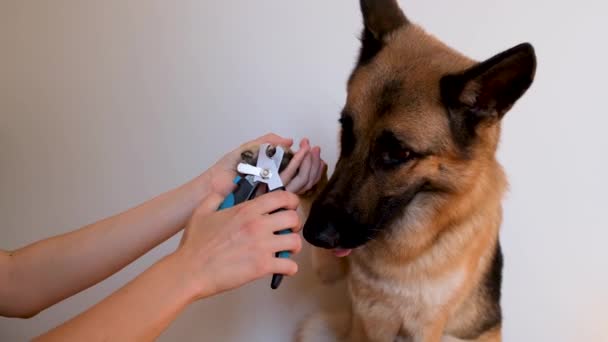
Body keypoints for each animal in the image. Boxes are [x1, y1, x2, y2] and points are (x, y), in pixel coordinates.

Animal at [296, 1, 536, 340]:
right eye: (346, 130)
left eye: (398, 153)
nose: (314, 234)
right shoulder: (339, 279)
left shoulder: (426, 327)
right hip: (314, 325)